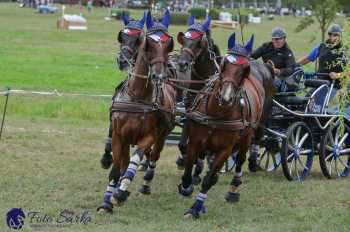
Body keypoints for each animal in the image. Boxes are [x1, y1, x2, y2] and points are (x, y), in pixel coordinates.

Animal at [97, 10, 176, 213]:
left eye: (169, 44)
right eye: (148, 42)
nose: (159, 75)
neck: (137, 97)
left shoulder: (149, 136)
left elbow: (134, 160)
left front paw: (120, 192)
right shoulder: (119, 136)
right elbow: (117, 167)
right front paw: (107, 202)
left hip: (162, 135)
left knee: (153, 157)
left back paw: (143, 184)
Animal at [175, 15, 221, 183]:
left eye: (199, 42)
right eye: (184, 40)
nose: (182, 64)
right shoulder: (190, 114)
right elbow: (183, 144)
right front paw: (184, 159)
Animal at [178, 33, 274, 219]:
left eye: (244, 70)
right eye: (223, 65)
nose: (226, 98)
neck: (216, 114)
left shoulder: (225, 149)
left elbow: (208, 179)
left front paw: (195, 208)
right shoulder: (195, 140)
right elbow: (187, 170)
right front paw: (186, 186)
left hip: (249, 132)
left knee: (241, 158)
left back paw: (234, 188)